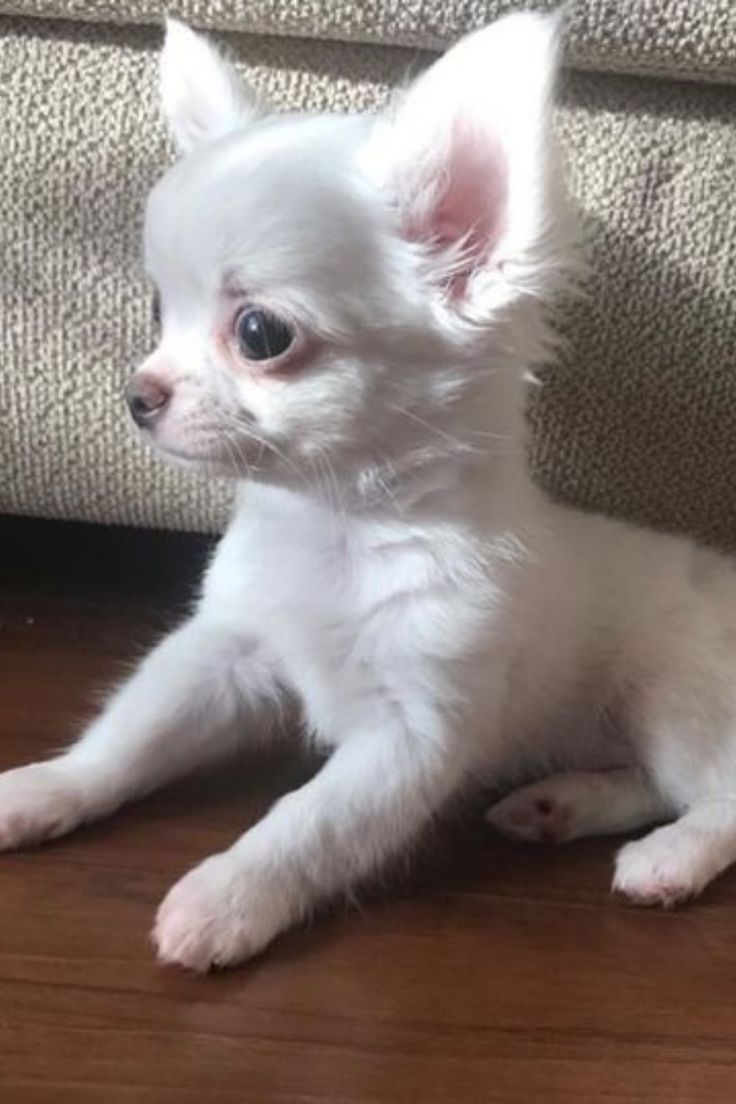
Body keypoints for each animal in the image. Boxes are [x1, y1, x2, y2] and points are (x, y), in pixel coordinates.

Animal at [2, 12, 732, 971]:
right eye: (160, 312)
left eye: (260, 333)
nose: (137, 396)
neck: (338, 526)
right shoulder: (223, 652)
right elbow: (129, 735)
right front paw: (47, 787)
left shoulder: (409, 736)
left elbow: (307, 823)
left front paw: (225, 897)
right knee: (652, 782)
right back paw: (557, 804)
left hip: (675, 695)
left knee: (719, 796)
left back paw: (670, 856)